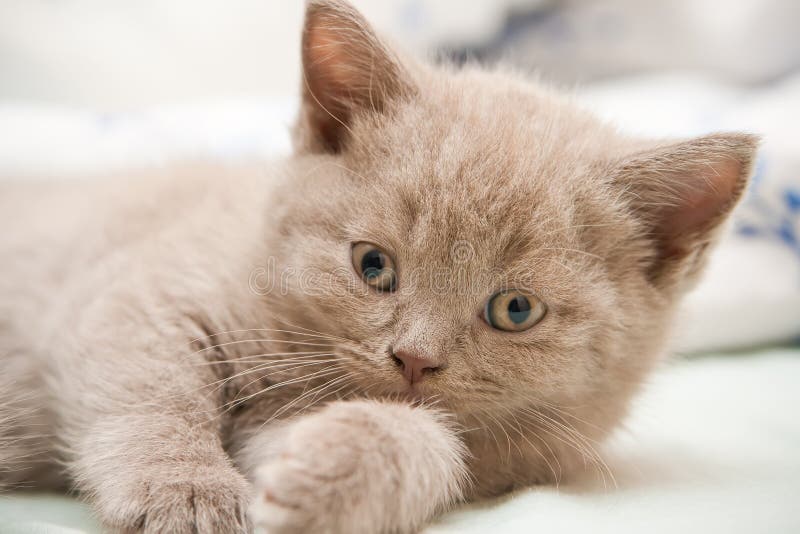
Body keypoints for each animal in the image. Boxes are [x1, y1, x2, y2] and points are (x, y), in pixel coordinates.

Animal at [0, 1, 756, 534]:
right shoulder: (137, 292)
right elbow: (152, 386)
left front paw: (334, 473)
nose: (414, 358)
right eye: (372, 265)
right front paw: (185, 493)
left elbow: (434, 443)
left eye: (515, 310)